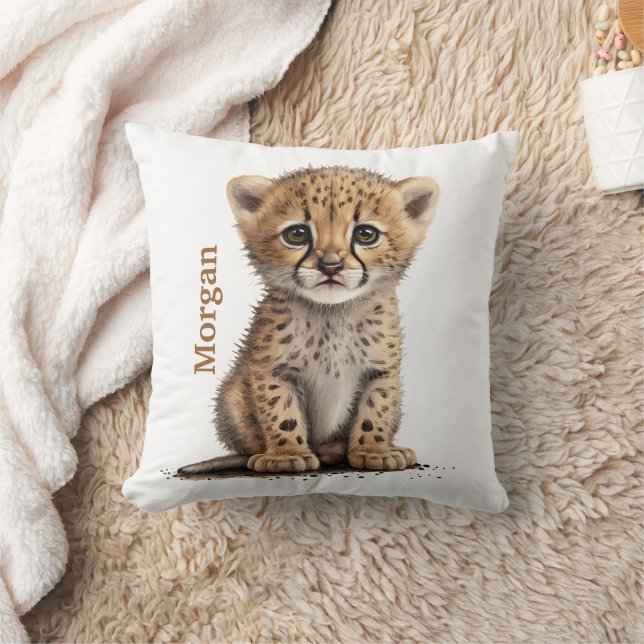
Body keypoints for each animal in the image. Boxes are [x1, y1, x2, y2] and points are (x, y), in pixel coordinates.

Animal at [179, 165, 439, 475]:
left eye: (366, 234)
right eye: (297, 234)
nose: (331, 266)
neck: (332, 315)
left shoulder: (381, 371)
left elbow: (376, 409)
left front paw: (373, 450)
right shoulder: (272, 370)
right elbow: (281, 411)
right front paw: (286, 454)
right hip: (230, 396)